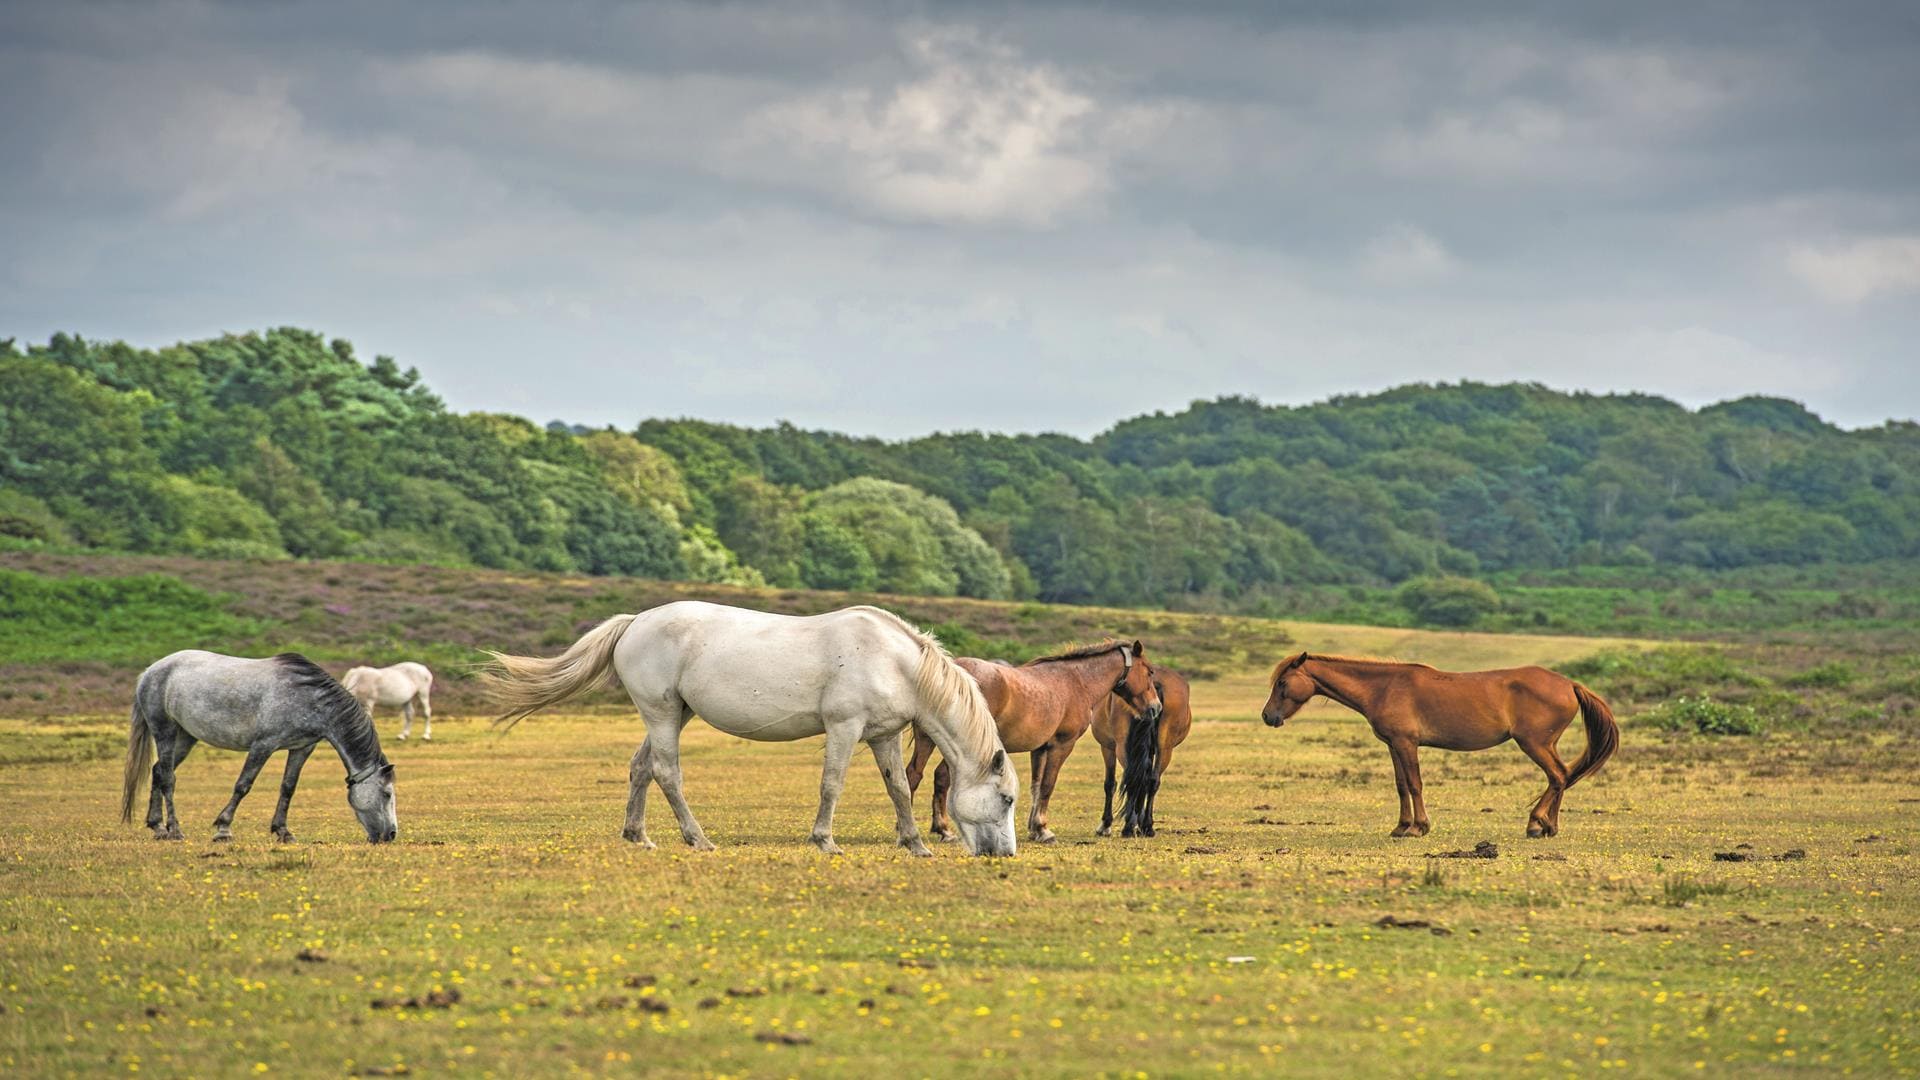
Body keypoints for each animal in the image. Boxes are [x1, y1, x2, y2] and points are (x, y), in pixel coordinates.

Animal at [121, 645, 399, 841]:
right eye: (387, 794)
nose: (391, 835)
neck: (308, 697)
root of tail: (150, 672)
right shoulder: (263, 745)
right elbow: (243, 785)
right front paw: (223, 829)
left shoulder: (301, 748)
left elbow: (288, 787)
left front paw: (283, 831)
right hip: (165, 731)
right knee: (168, 778)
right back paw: (175, 829)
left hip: (186, 736)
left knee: (159, 771)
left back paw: (158, 827)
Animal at [480, 595, 1021, 849]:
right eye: (1007, 799)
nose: (1004, 854)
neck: (894, 660)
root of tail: (635, 622)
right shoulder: (843, 729)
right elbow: (832, 784)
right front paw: (824, 841)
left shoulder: (882, 735)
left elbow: (899, 788)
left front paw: (915, 845)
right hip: (661, 714)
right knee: (667, 773)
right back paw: (698, 838)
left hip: (671, 715)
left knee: (640, 769)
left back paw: (640, 836)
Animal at [906, 638, 1159, 841]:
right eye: (1148, 671)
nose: (1156, 708)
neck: (1077, 681)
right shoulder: (1061, 745)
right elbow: (1048, 785)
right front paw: (1043, 829)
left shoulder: (1040, 749)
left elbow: (1036, 786)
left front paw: (1034, 828)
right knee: (941, 777)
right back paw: (941, 829)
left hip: (927, 740)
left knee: (915, 774)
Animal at [1098, 661, 1182, 837]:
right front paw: (1141, 821)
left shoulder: (1107, 747)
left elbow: (1110, 783)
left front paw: (1105, 825)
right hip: (1165, 749)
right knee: (1151, 780)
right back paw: (1146, 825)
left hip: (1122, 748)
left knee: (1132, 778)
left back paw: (1129, 826)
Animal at [1259, 653, 1620, 837]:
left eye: (1282, 682)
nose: (1267, 716)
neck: (1384, 686)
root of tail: (1570, 684)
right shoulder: (1393, 745)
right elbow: (1401, 785)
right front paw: (1401, 826)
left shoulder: (1407, 744)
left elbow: (1415, 784)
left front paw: (1419, 828)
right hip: (1544, 744)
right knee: (1562, 777)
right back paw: (1548, 825)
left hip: (1534, 743)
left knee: (1558, 776)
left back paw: (1537, 825)